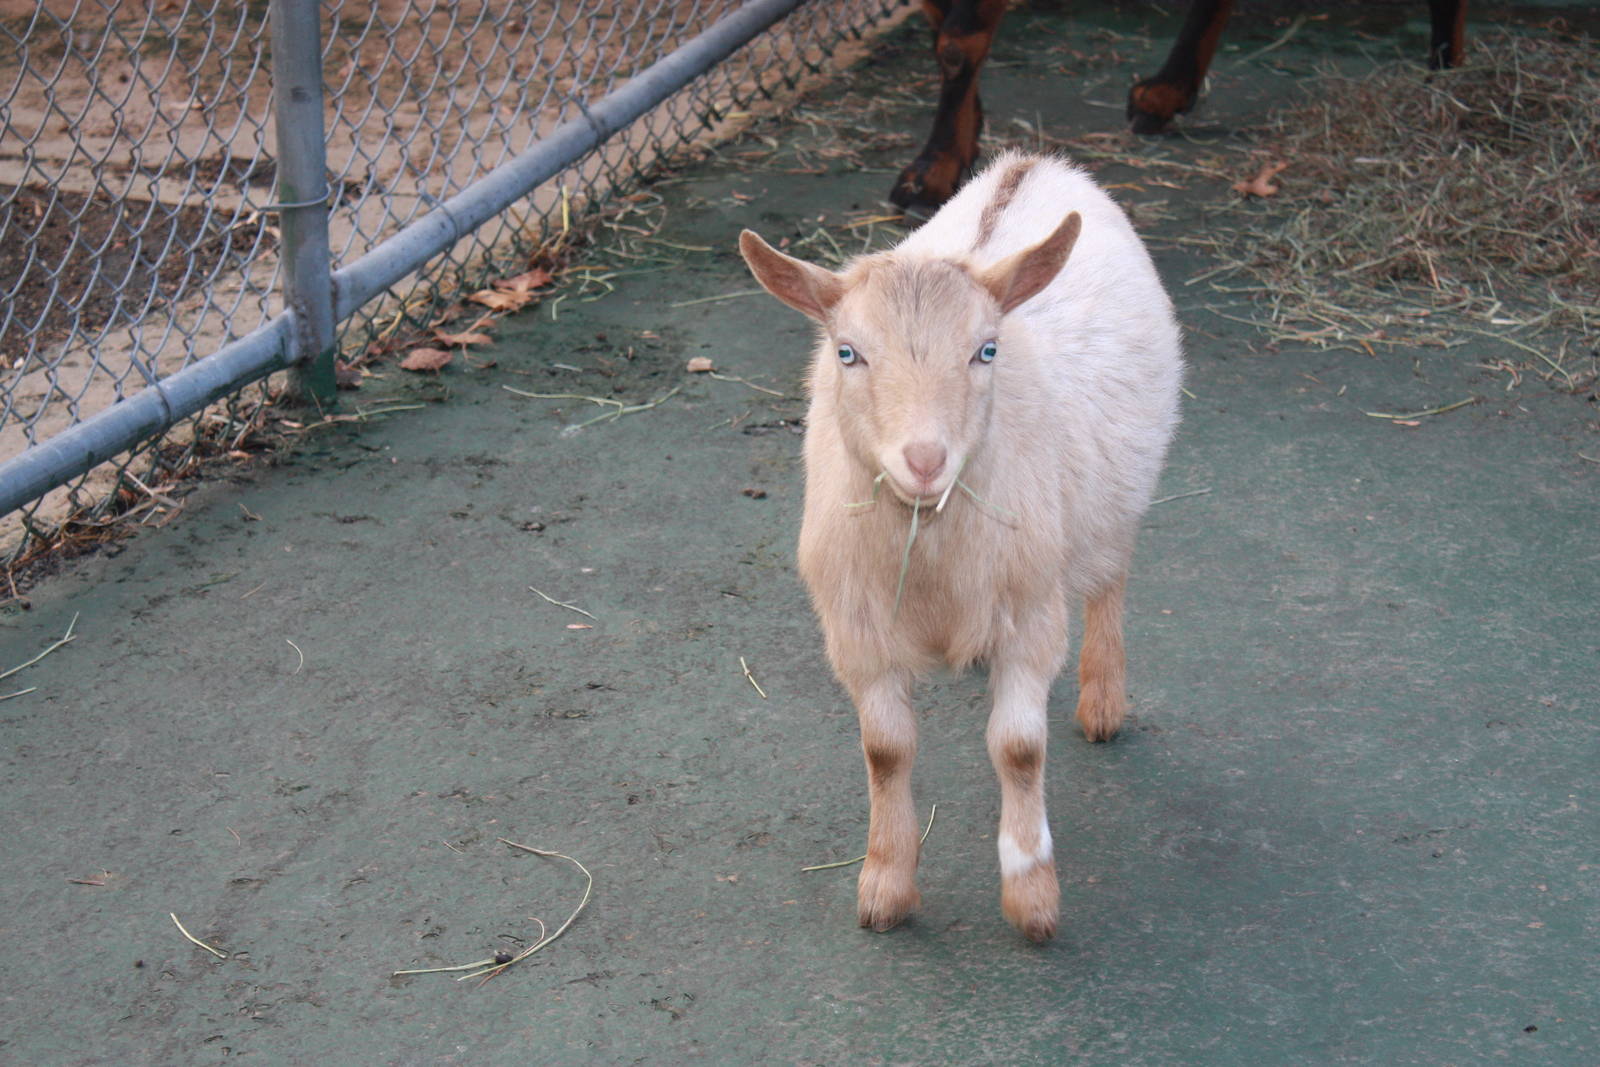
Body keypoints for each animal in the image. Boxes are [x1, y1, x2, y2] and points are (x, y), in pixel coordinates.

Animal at [739, 150, 1183, 940]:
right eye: (847, 352)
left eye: (986, 350)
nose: (925, 459)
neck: (932, 544)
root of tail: (1031, 163)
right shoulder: (857, 630)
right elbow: (886, 751)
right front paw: (886, 886)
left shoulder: (1031, 612)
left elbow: (1018, 748)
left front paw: (1031, 895)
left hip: (1117, 493)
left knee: (1110, 578)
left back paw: (1103, 699)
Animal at [892, 0, 1470, 209]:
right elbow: (942, 24)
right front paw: (950, 156)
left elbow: (959, 37)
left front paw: (939, 163)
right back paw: (1169, 87)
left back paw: (1448, 80)